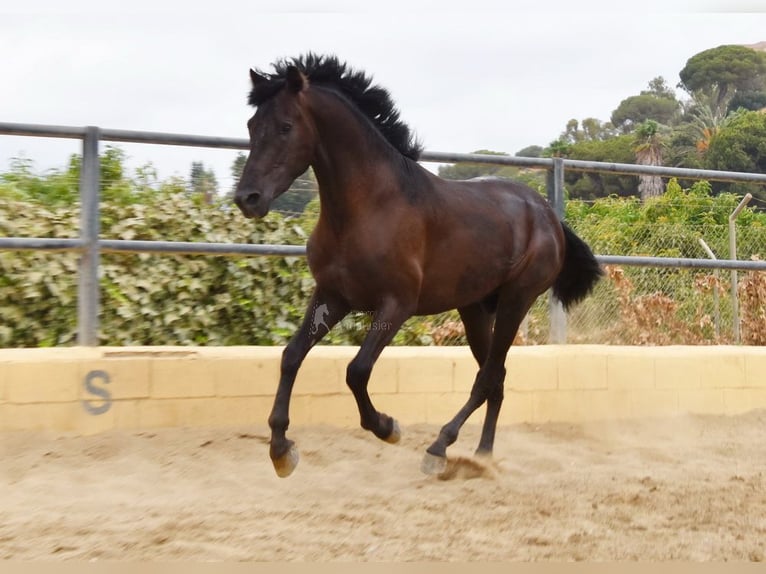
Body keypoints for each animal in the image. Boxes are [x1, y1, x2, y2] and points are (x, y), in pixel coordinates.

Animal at [234, 53, 608, 476]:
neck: (368, 207)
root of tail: (547, 214)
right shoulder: (332, 296)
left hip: (517, 299)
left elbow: (356, 371)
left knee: (488, 376)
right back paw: (482, 454)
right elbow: (291, 356)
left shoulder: (396, 304)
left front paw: (388, 427)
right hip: (474, 307)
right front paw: (282, 451)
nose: (247, 198)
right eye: (251, 125)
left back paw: (439, 448)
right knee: (495, 377)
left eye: (285, 126)